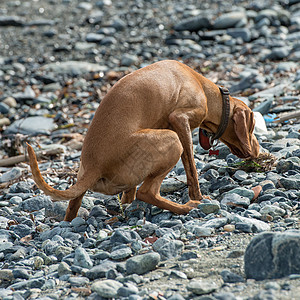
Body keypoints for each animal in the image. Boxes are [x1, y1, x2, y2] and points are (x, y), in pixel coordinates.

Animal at [27, 59, 258, 221]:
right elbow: (192, 170)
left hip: (84, 179)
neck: (203, 86)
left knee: (79, 205)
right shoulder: (179, 121)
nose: (258, 152)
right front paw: (198, 198)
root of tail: (94, 166)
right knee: (146, 192)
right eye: (253, 126)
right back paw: (185, 208)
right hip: (172, 141)